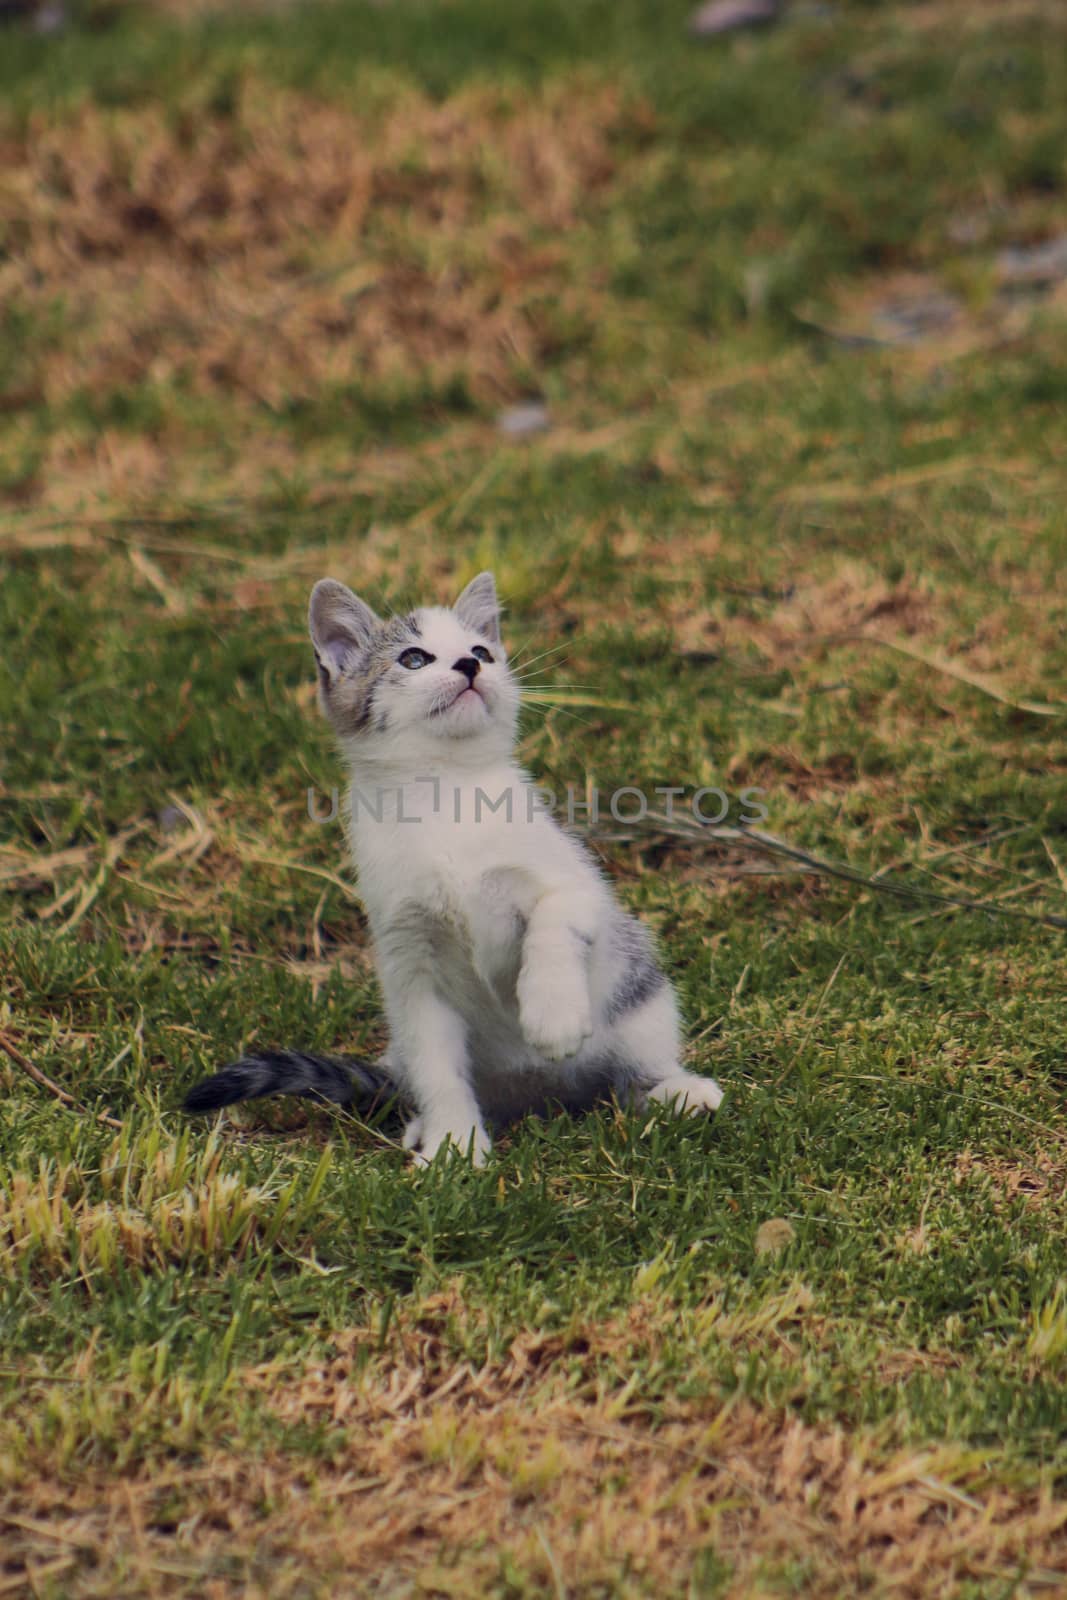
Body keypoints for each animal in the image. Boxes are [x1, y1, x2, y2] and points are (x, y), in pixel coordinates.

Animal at [183, 576, 723, 1164]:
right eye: (414, 658)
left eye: (482, 651)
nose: (469, 664)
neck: (447, 792)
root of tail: (548, 1098)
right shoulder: (410, 962)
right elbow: (438, 1066)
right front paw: (453, 1145)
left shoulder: (577, 884)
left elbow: (554, 924)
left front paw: (553, 1013)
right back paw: (425, 1124)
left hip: (642, 994)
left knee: (628, 1074)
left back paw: (673, 1090)